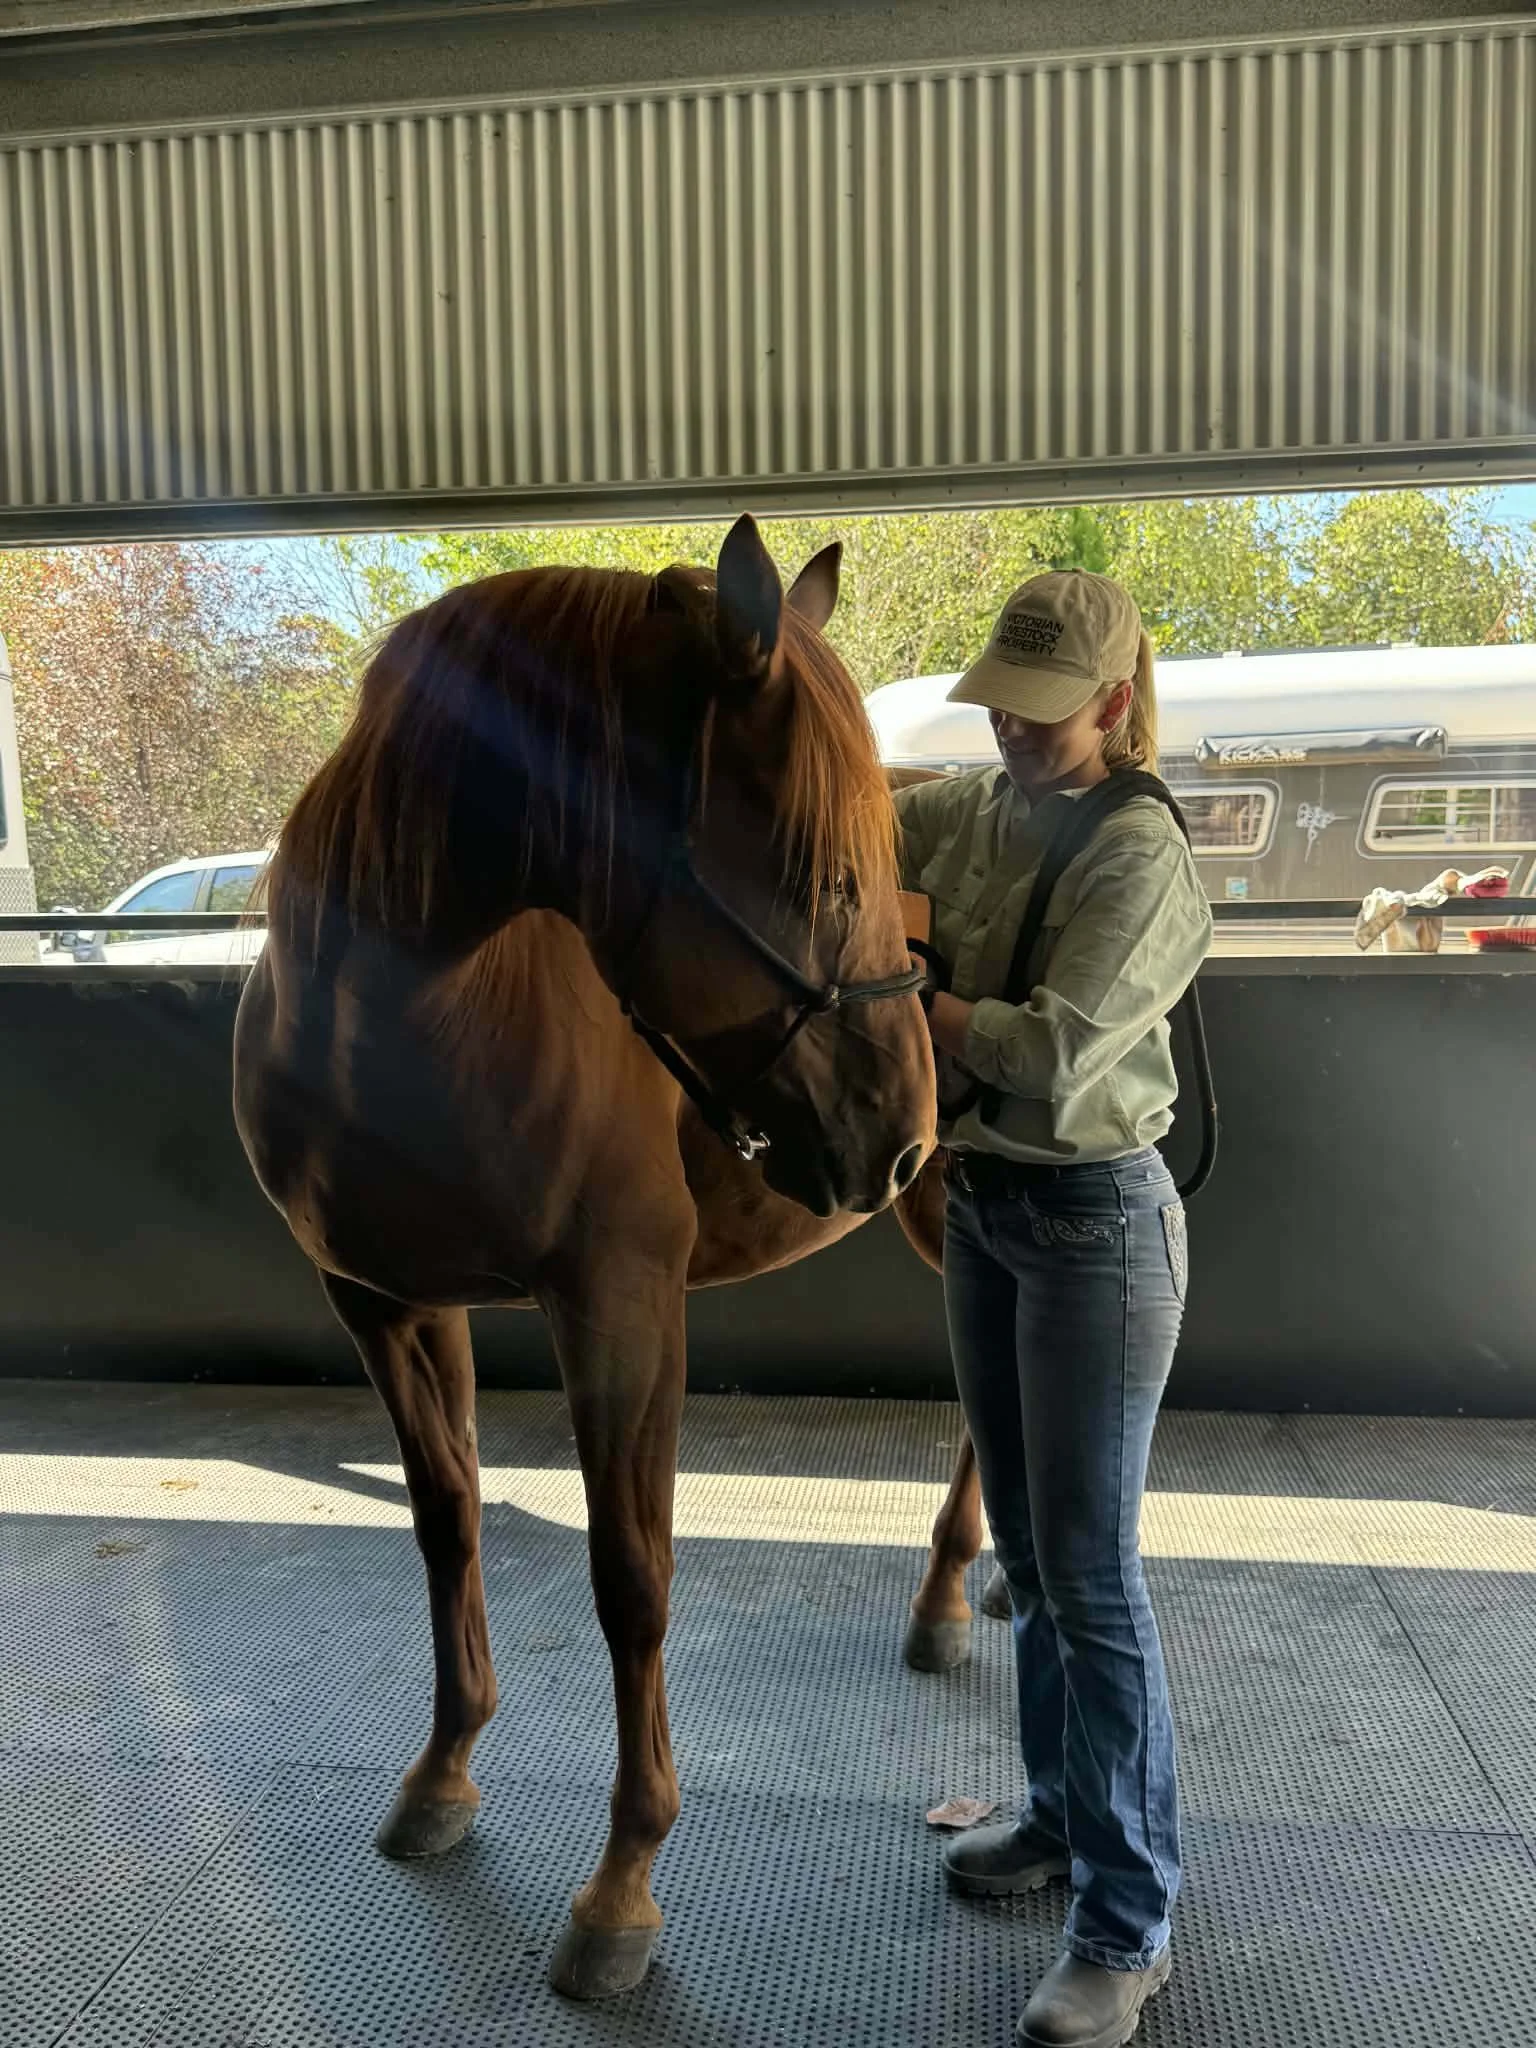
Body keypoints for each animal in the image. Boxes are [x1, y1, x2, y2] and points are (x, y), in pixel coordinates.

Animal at [232, 516, 936, 2001]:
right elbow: (447, 1522)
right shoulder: (386, 1304)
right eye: (824, 879)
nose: (899, 1139)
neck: (418, 1020)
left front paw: (621, 1887)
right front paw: (443, 1773)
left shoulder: (621, 1308)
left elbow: (633, 1579)